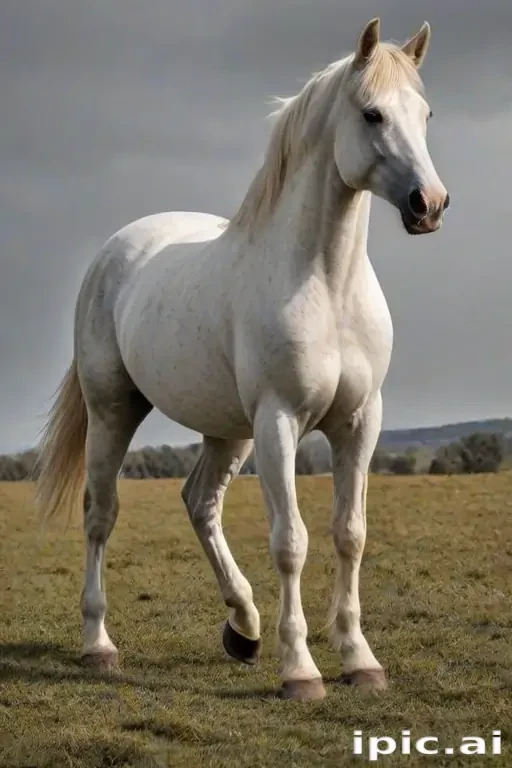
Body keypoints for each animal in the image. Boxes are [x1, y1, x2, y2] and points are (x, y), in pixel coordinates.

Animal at [35, 17, 449, 701]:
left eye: (425, 113)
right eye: (371, 113)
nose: (430, 204)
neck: (326, 286)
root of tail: (115, 252)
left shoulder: (359, 422)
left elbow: (350, 534)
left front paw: (360, 660)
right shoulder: (279, 421)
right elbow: (291, 542)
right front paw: (301, 670)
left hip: (227, 430)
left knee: (200, 503)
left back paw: (245, 628)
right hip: (115, 408)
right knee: (100, 513)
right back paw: (99, 644)